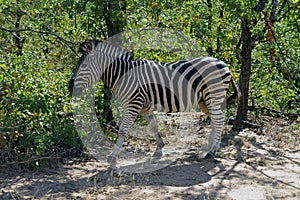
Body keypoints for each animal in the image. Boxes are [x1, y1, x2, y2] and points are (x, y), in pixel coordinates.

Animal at [68, 39, 241, 166]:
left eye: (83, 65)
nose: (70, 87)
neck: (124, 76)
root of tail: (224, 65)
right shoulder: (144, 108)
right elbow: (154, 127)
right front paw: (159, 150)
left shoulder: (134, 104)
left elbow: (122, 130)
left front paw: (113, 155)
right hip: (205, 101)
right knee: (217, 119)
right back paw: (211, 145)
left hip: (213, 95)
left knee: (219, 119)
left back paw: (212, 150)